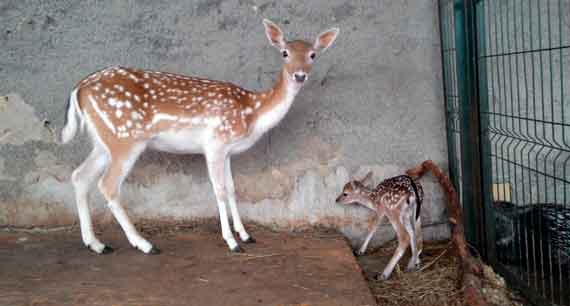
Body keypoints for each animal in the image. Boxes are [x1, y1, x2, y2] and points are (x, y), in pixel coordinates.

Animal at [62, 19, 338, 253]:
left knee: (80, 176)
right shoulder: (215, 144)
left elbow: (233, 188)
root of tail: (78, 89)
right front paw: (231, 242)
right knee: (107, 185)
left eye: (313, 55)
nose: (299, 75)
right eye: (285, 53)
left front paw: (245, 235)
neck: (251, 112)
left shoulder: (228, 151)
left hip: (103, 140)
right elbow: (219, 190)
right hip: (125, 138)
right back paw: (144, 244)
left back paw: (96, 244)